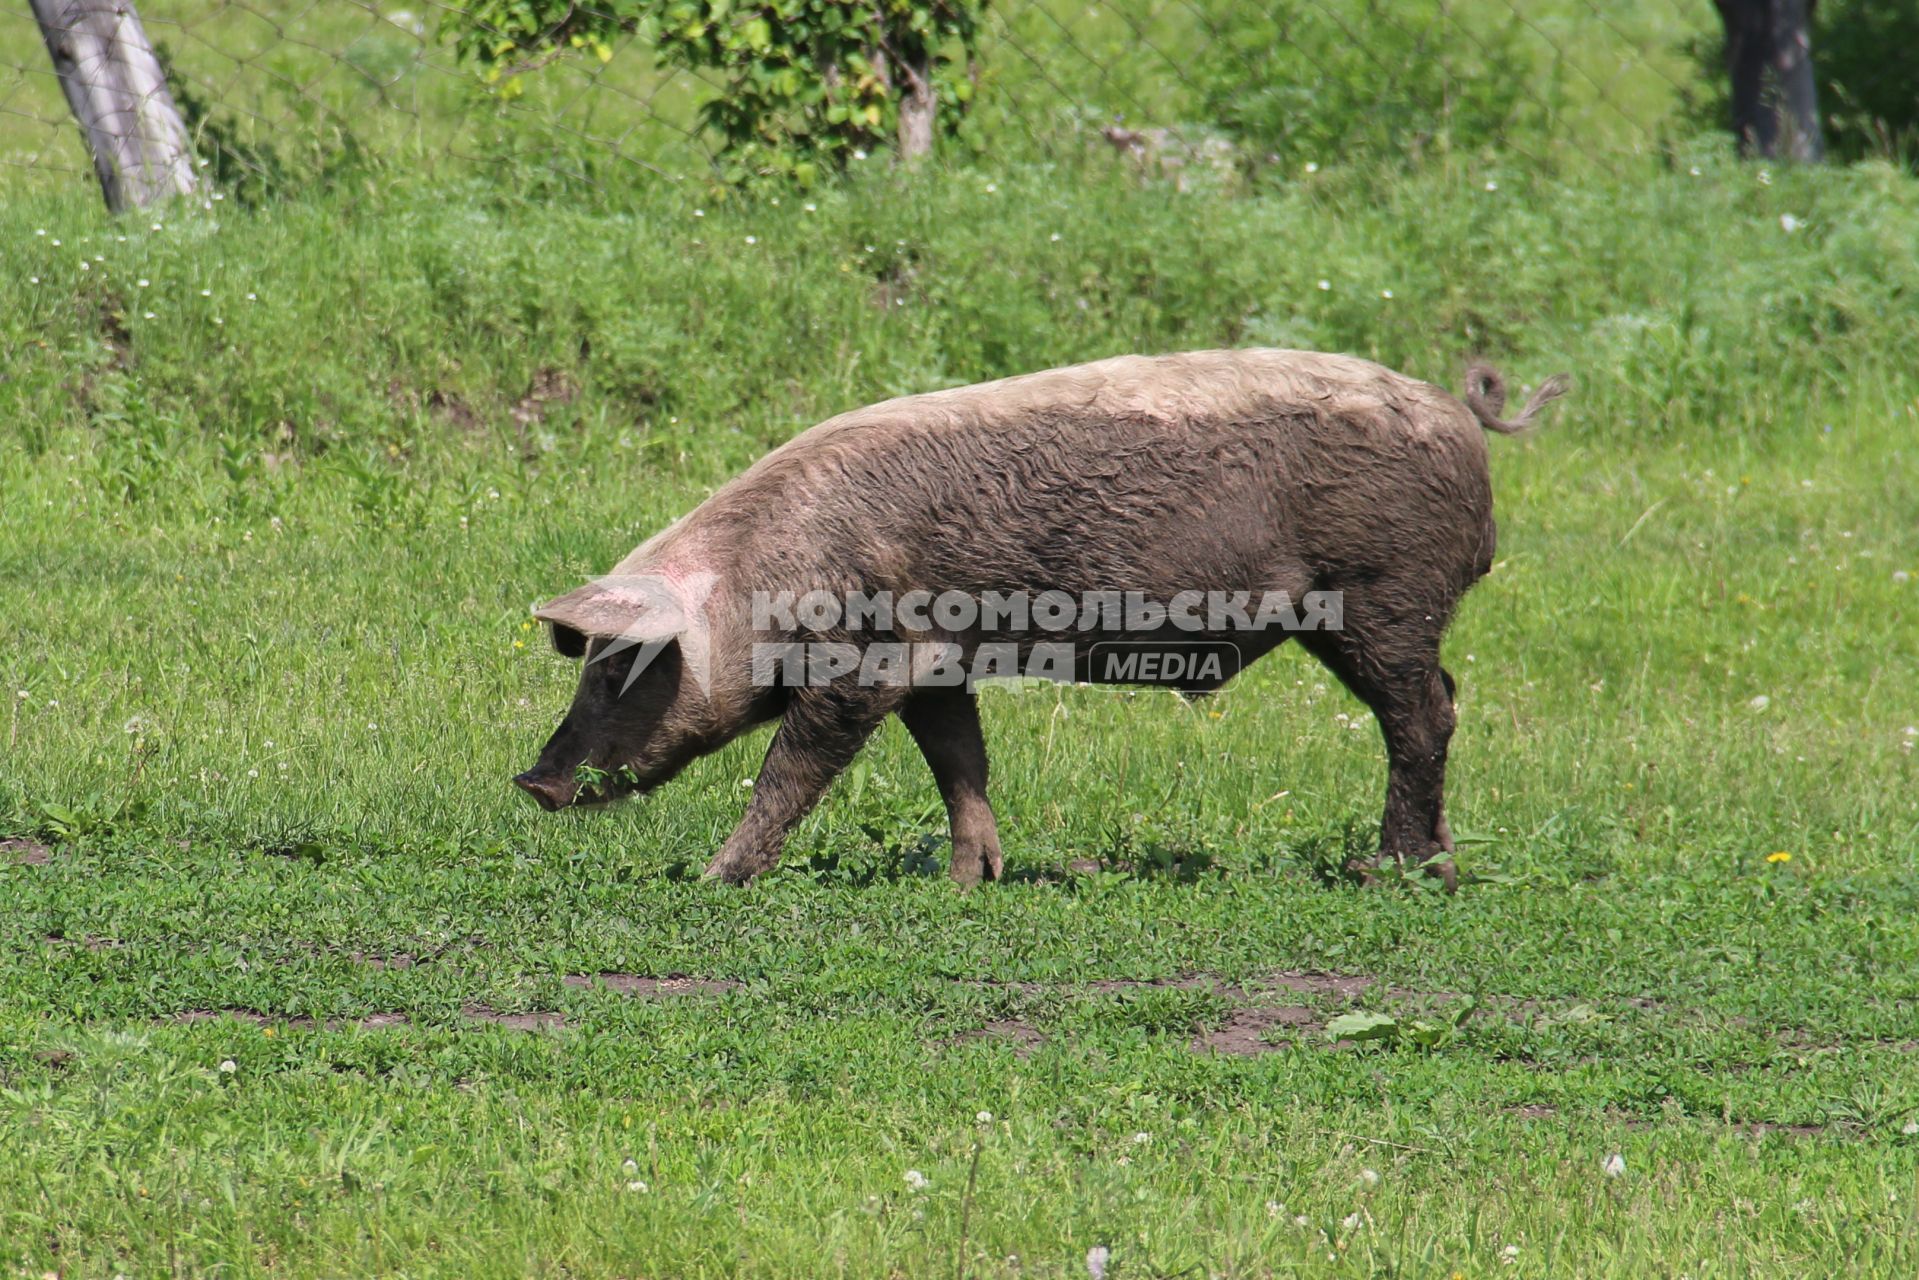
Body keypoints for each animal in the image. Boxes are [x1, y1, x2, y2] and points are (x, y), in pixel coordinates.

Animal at [518, 351, 1565, 890]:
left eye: (619, 668)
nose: (531, 781)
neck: (765, 578)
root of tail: (1460, 416)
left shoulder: (862, 669)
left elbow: (789, 770)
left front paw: (713, 878)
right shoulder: (933, 663)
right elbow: (958, 760)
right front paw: (971, 879)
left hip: (1381, 597)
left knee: (1420, 716)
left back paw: (1387, 871)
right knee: (1439, 705)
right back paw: (1431, 863)